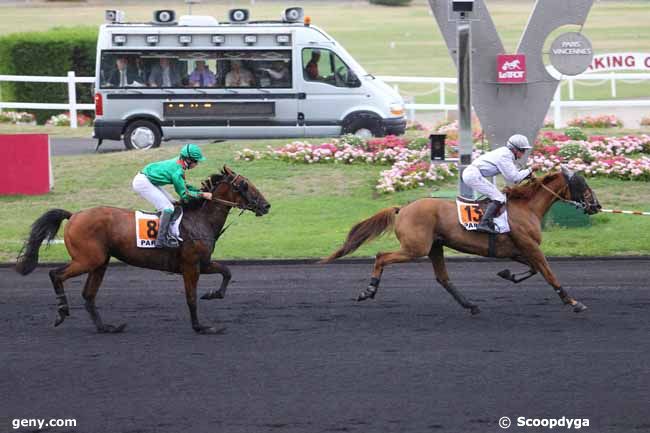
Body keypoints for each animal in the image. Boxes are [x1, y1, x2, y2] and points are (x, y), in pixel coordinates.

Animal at [15, 165, 268, 334]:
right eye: (244, 185)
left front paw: (213, 294)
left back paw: (106, 327)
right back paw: (62, 312)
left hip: (100, 262)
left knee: (88, 295)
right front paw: (201, 327)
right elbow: (191, 298)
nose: (266, 205)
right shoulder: (190, 266)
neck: (200, 220)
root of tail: (74, 215)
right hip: (88, 260)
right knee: (55, 274)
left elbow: (227, 272)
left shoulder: (203, 263)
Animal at [322, 166, 600, 314]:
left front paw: (507, 274)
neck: (526, 207)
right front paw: (573, 302)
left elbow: (533, 269)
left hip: (435, 247)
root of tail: (403, 208)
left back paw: (470, 305)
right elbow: (548, 272)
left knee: (443, 278)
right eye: (582, 184)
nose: (596, 206)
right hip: (416, 248)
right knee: (382, 256)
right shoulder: (530, 246)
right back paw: (368, 291)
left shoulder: (517, 250)